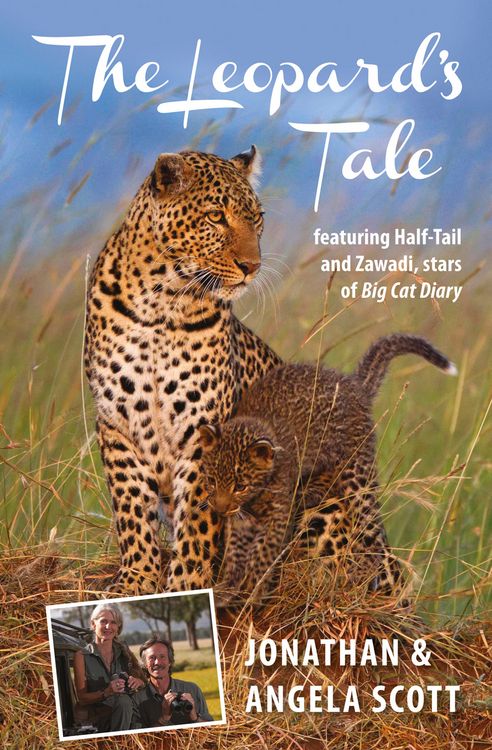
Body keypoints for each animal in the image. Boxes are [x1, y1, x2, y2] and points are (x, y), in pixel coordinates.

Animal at [84, 146, 282, 593]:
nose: (251, 266)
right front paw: (136, 580)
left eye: (257, 218)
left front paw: (187, 585)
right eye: (216, 216)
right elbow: (130, 507)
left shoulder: (203, 428)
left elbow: (198, 516)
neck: (162, 300)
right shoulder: (116, 422)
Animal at [198, 334, 456, 606]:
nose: (219, 508)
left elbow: (266, 554)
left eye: (241, 486)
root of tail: (354, 384)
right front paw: (227, 589)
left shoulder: (278, 515)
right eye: (211, 481)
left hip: (358, 476)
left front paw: (255, 591)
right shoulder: (242, 520)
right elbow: (235, 554)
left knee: (372, 530)